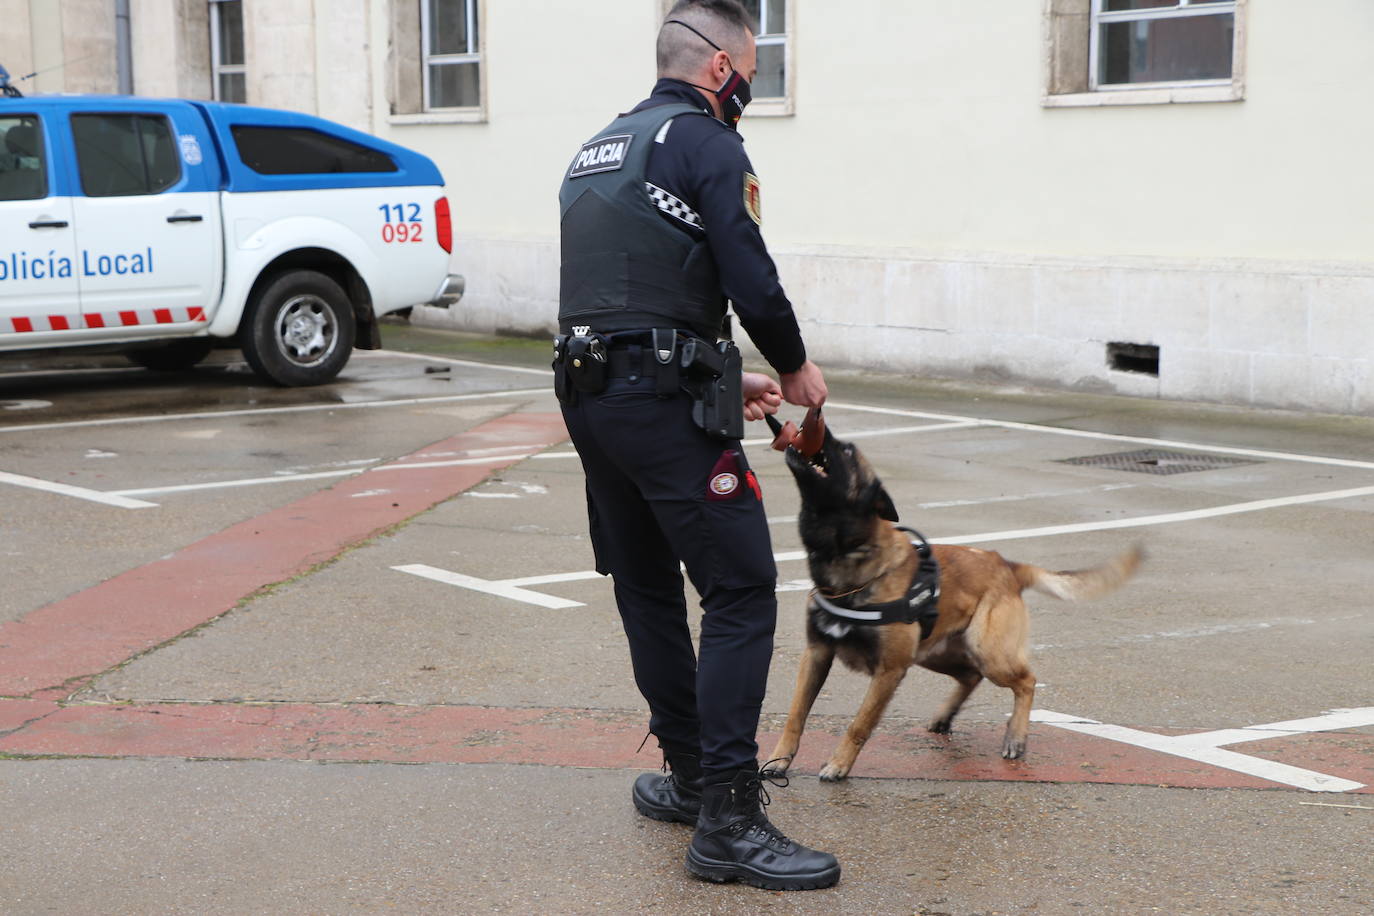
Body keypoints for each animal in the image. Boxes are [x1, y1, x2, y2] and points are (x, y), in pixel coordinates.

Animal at [763, 414, 1137, 780]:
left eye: (849, 451)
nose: (814, 420)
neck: (851, 562)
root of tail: (1006, 565)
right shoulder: (816, 655)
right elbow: (796, 715)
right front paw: (779, 760)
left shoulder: (889, 670)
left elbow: (860, 723)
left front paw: (839, 764)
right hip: (935, 653)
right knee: (971, 676)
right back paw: (946, 716)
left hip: (988, 652)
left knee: (1026, 681)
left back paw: (1016, 737)